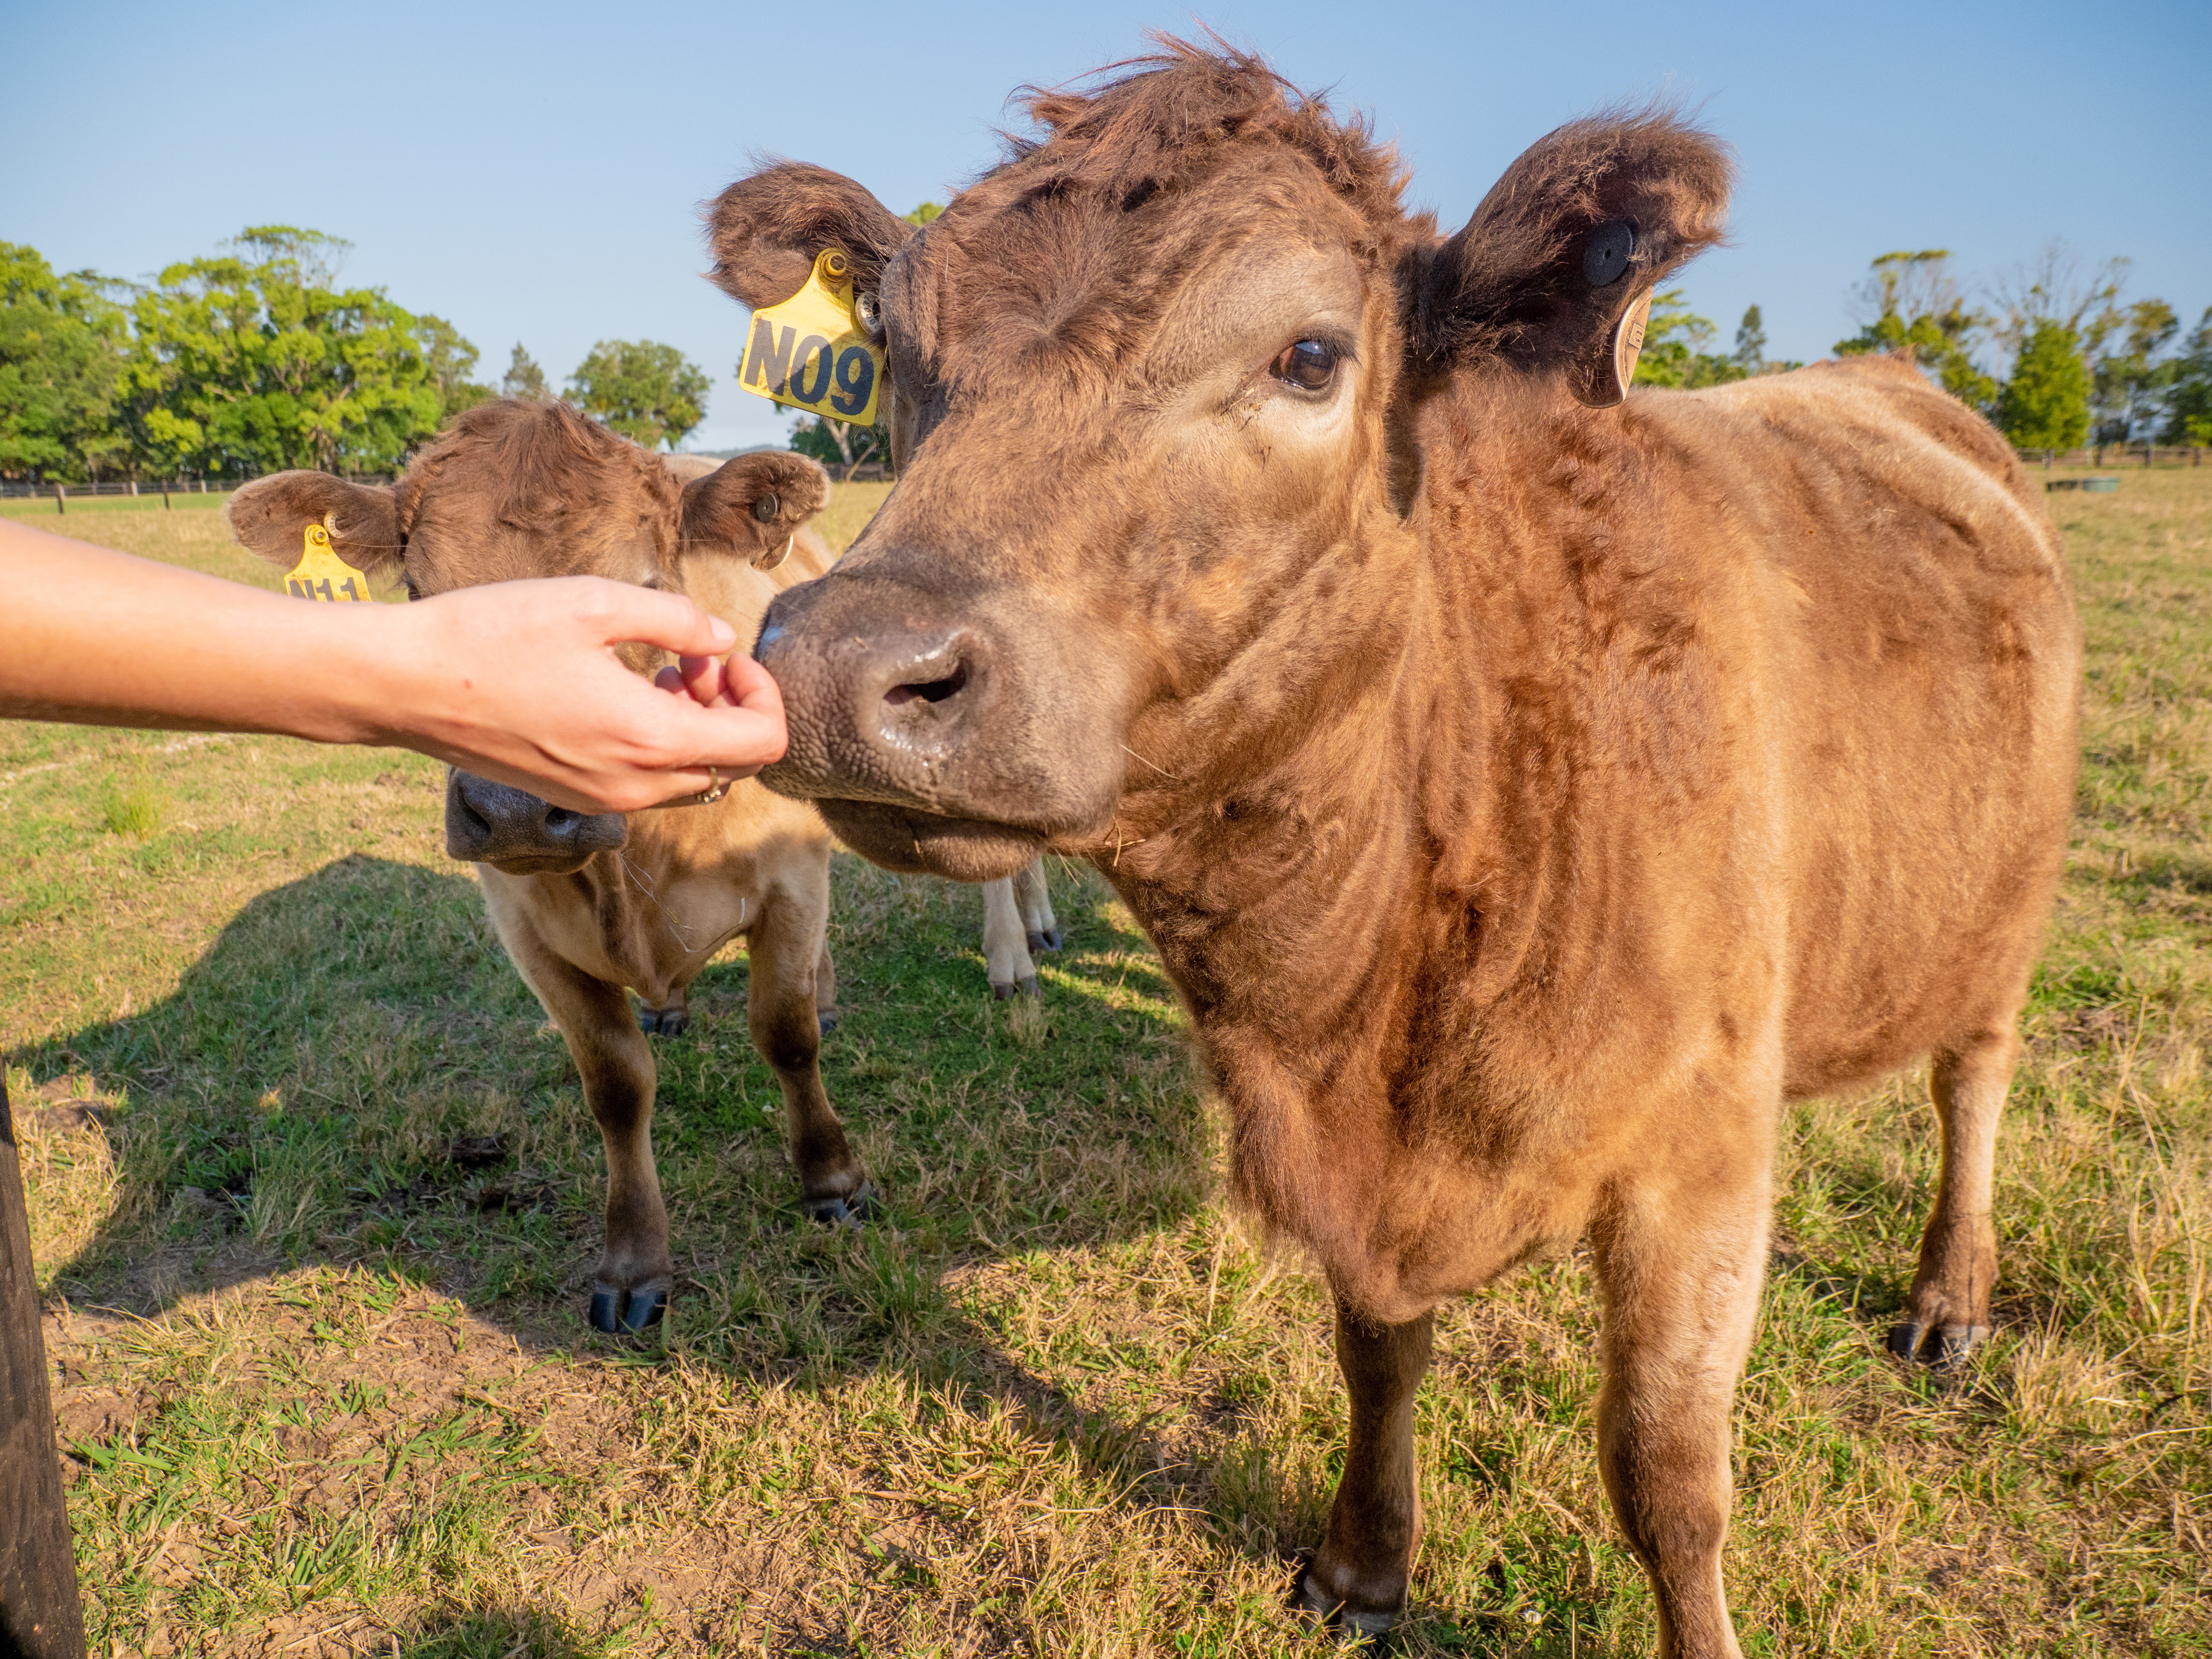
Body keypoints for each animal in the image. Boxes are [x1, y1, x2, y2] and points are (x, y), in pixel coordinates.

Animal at [226, 401, 878, 1333]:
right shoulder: (530, 937)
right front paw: (634, 1261)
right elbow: (615, 1086)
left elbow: (787, 1035)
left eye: (649, 589)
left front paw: (831, 1178)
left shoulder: (790, 882)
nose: (517, 807)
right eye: (416, 595)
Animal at [705, 43, 2081, 1654]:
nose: (843, 664)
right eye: (896, 359)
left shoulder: (1702, 1159)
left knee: (1973, 1080)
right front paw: (1363, 1561)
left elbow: (1666, 1472)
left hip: (2001, 906)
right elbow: (1376, 1351)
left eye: (1310, 356)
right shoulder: (1353, 1169)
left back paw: (1949, 1295)